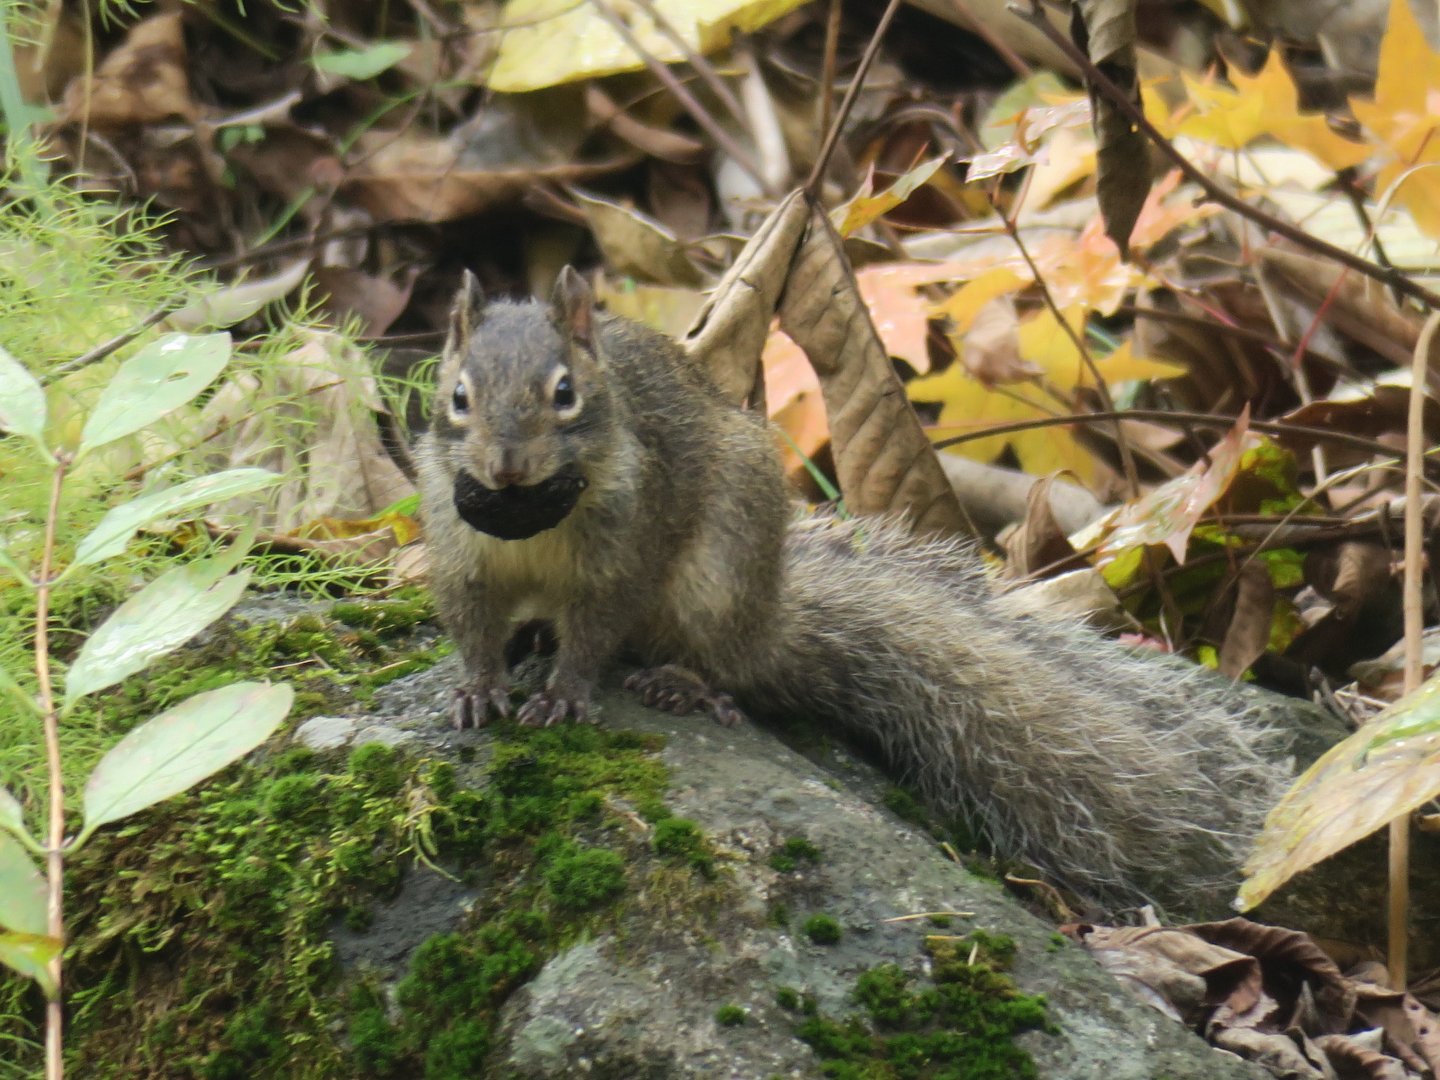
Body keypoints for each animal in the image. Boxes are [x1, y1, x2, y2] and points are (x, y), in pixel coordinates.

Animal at [415, 266, 1293, 911]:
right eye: (456, 396)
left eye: (565, 392)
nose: (505, 467)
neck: (527, 518)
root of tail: (772, 615)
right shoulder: (460, 552)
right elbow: (471, 623)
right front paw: (478, 687)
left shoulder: (625, 549)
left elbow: (597, 630)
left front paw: (564, 692)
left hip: (721, 568)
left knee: (727, 663)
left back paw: (685, 682)